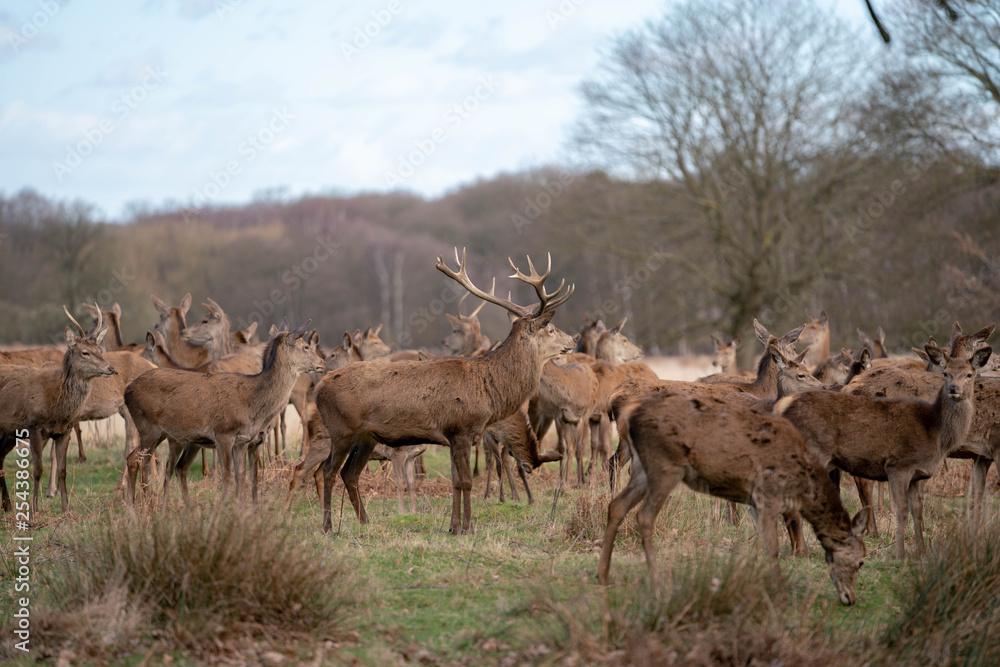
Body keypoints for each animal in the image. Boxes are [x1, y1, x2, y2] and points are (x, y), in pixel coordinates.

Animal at [0, 307, 115, 513]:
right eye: (85, 352)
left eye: (100, 350)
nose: (111, 368)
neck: (56, 407)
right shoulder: (34, 426)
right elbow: (37, 470)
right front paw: (34, 509)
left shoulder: (64, 431)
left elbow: (62, 470)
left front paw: (66, 509)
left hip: (9, 432)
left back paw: (7, 505)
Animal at [124, 320, 325, 509]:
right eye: (305, 346)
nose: (322, 363)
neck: (252, 402)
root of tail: (127, 390)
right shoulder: (224, 433)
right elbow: (228, 473)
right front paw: (222, 509)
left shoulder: (244, 440)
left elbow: (245, 475)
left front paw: (243, 510)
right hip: (147, 426)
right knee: (144, 461)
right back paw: (147, 506)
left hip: (168, 435)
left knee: (149, 461)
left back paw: (139, 506)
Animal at [314, 249, 575, 535]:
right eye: (551, 329)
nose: (573, 340)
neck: (488, 389)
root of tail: (319, 387)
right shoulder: (461, 429)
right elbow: (466, 481)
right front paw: (469, 528)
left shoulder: (453, 435)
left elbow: (455, 482)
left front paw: (453, 527)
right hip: (342, 429)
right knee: (328, 470)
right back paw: (328, 527)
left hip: (366, 436)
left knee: (349, 473)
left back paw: (366, 522)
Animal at [598, 392, 868, 605]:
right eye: (861, 561)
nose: (850, 598)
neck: (801, 484)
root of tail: (629, 415)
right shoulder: (768, 495)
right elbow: (773, 547)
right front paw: (780, 592)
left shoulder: (754, 504)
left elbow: (765, 544)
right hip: (665, 464)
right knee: (644, 516)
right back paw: (657, 585)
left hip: (642, 468)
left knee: (616, 506)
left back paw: (603, 575)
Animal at [776, 343, 992, 558]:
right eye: (946, 373)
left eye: (970, 374)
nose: (954, 389)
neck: (935, 431)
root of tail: (783, 408)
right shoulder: (898, 465)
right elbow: (901, 510)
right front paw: (899, 553)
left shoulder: (916, 475)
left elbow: (917, 510)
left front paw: (921, 551)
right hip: (812, 454)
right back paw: (801, 550)